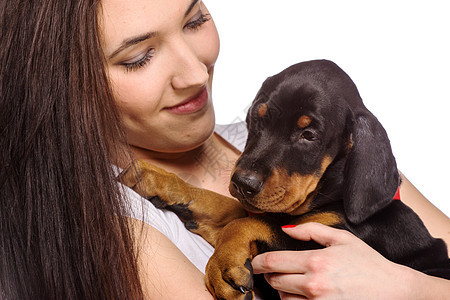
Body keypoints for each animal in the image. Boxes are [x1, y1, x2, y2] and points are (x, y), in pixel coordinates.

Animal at [119, 59, 450, 298]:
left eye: (308, 135)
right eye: (257, 117)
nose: (243, 183)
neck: (329, 198)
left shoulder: (318, 249)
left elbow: (251, 222)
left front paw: (222, 265)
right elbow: (229, 208)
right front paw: (159, 179)